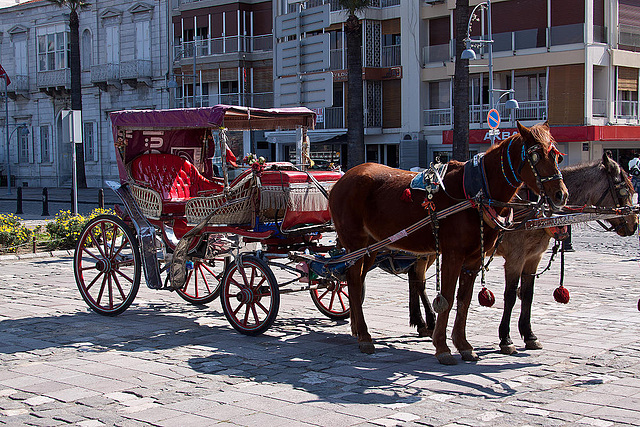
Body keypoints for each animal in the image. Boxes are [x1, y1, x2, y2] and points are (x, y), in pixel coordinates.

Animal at [328, 121, 568, 364]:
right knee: (354, 284)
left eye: (557, 157)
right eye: (535, 156)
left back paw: (357, 328)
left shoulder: (475, 258)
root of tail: (345, 177)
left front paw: (463, 345)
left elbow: (465, 300)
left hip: (371, 248)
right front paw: (443, 347)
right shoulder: (454, 255)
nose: (561, 194)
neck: (476, 192)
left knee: (356, 280)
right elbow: (448, 298)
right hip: (356, 244)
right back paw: (365, 336)